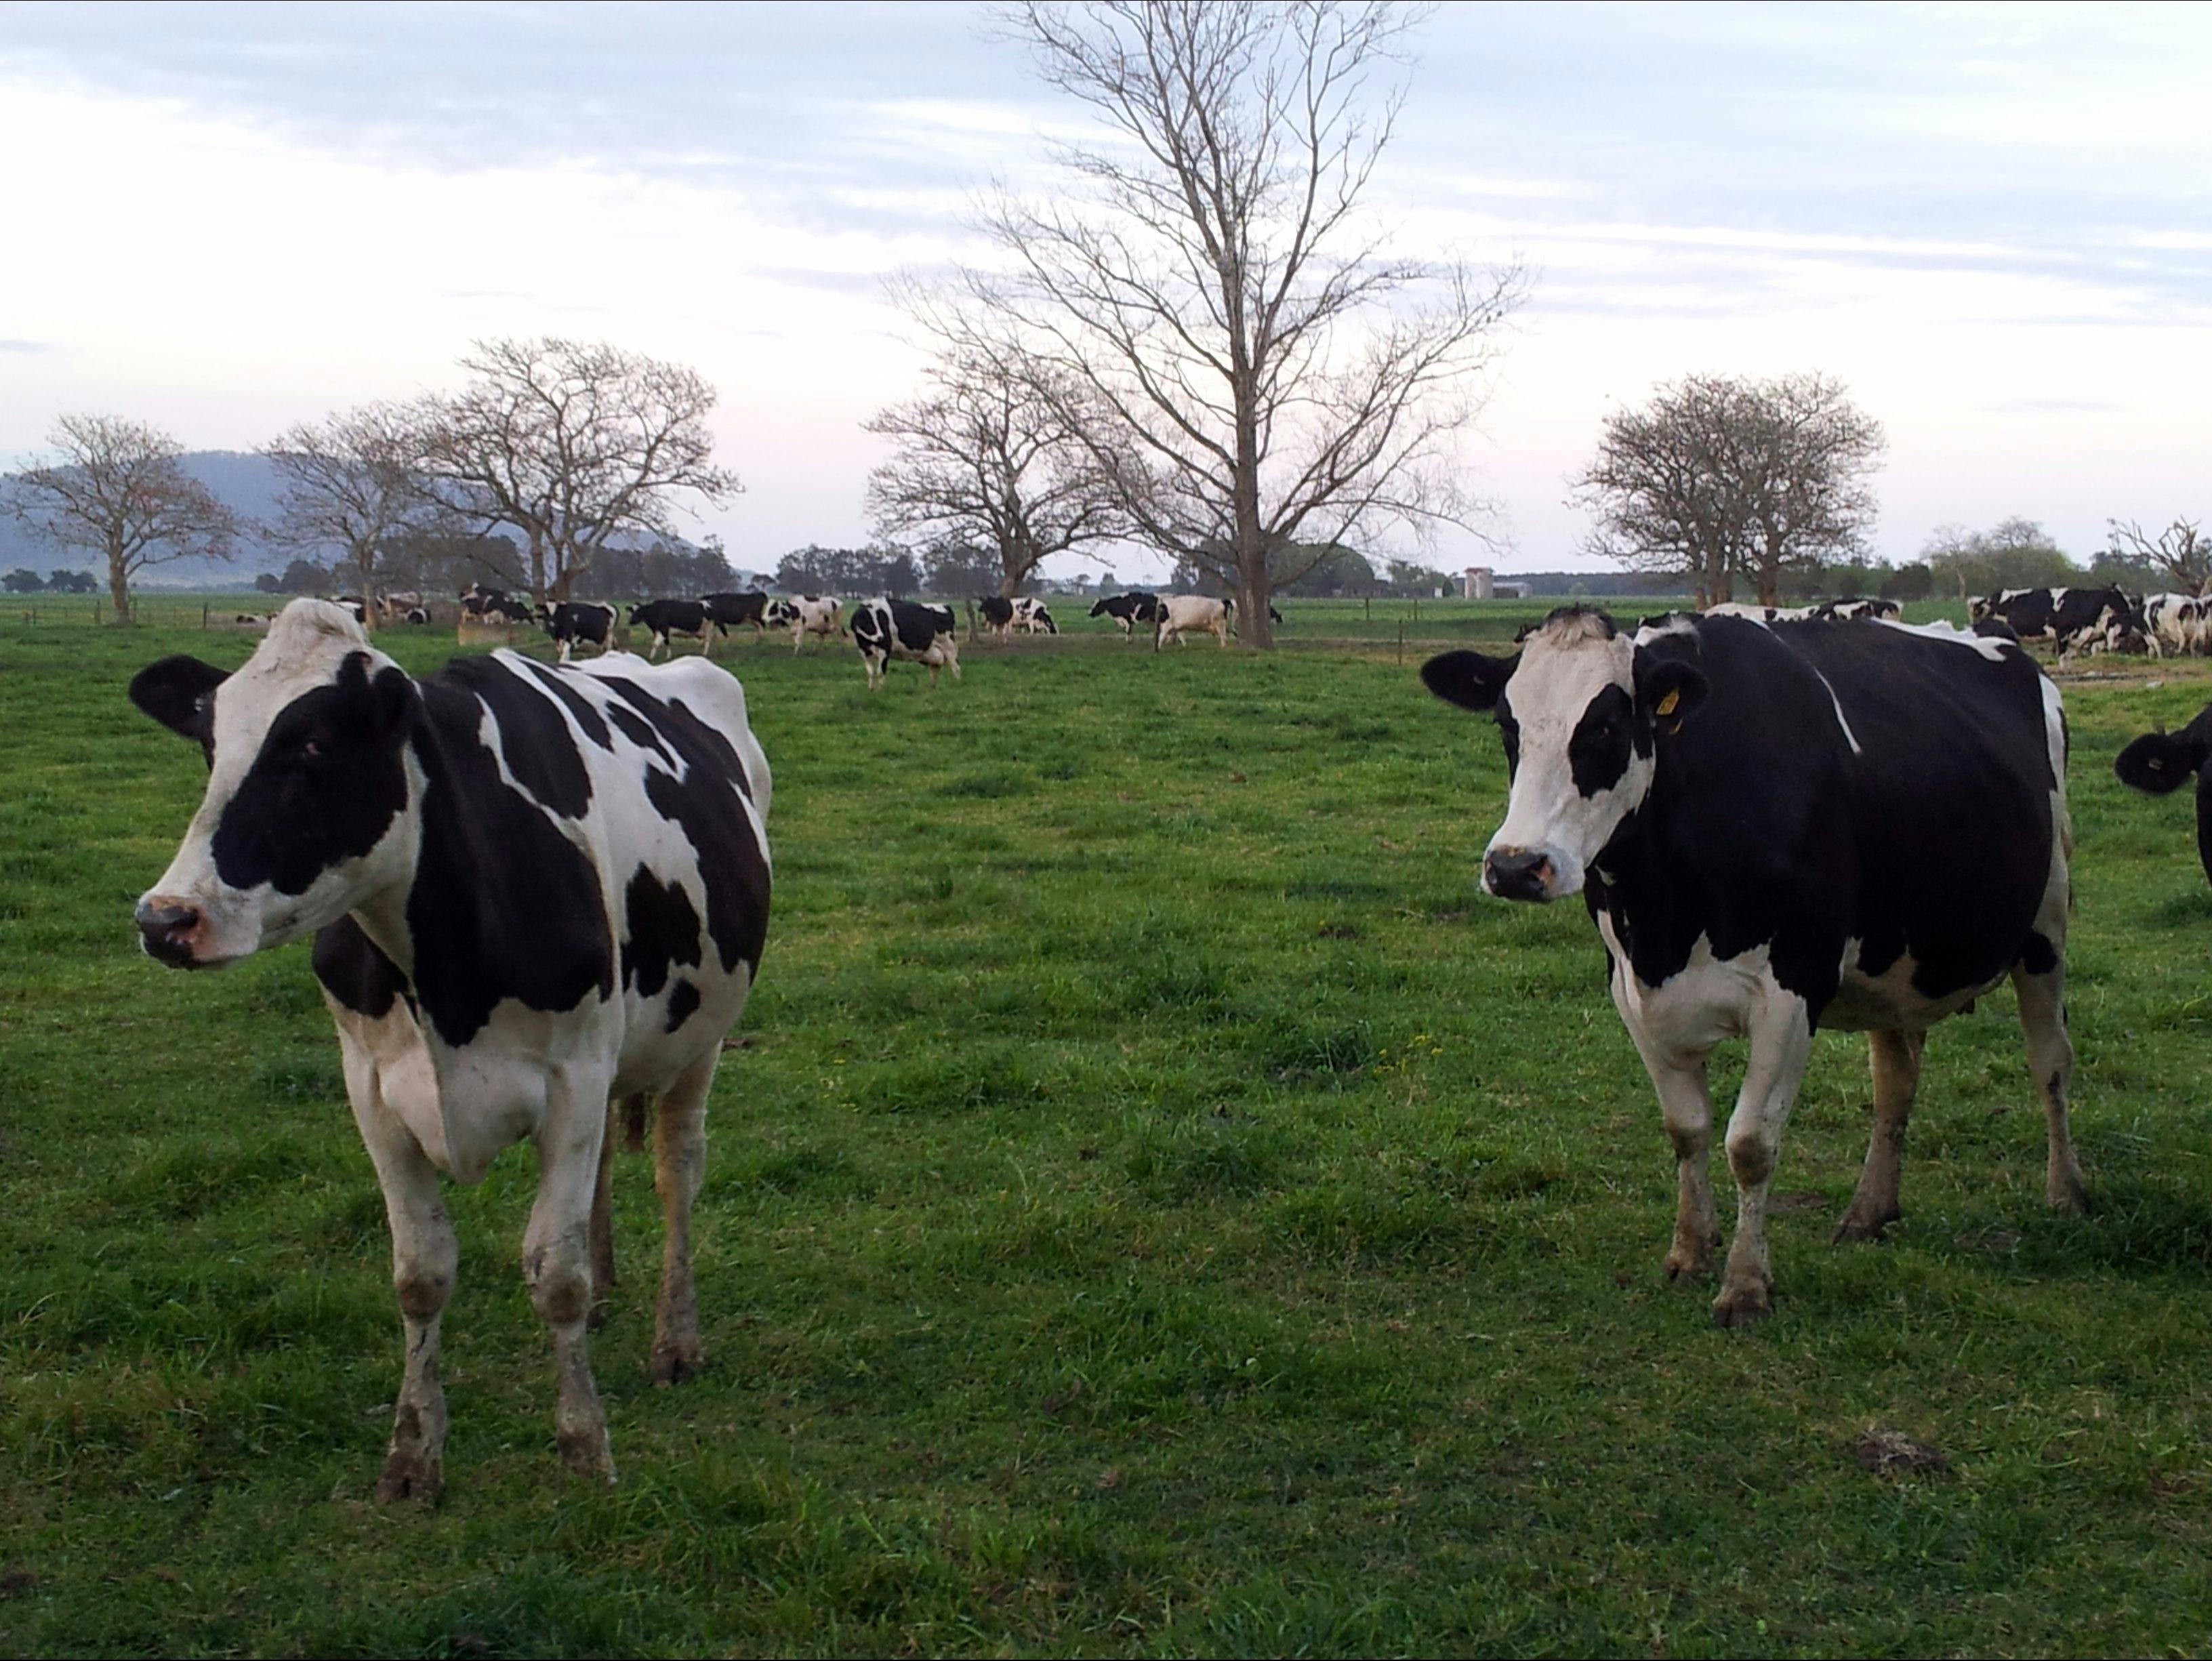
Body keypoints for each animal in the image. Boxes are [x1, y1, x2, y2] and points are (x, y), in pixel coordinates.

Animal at [126, 599, 771, 1496]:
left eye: (314, 745)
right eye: (210, 743)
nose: (165, 919)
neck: (442, 967)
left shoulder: (572, 1077)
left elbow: (554, 1273)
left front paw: (584, 1444)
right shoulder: (371, 1089)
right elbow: (421, 1273)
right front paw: (412, 1455)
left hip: (697, 1038)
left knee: (676, 1173)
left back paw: (674, 1339)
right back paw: (612, 1289)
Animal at [850, 597, 960, 687]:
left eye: (881, 620)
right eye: (867, 621)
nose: (881, 637)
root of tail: (945, 606)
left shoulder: (884, 650)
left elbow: (880, 672)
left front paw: (880, 692)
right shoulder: (865, 652)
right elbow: (870, 673)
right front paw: (871, 690)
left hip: (949, 648)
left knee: (956, 667)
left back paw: (956, 685)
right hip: (934, 653)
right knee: (935, 670)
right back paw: (932, 688)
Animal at [1419, 605, 2084, 1325]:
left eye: (1607, 726)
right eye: (1506, 725)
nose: (1515, 867)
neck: (1666, 915)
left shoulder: (1791, 992)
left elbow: (1749, 1144)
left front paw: (1745, 1285)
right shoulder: (1632, 989)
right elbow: (1687, 1130)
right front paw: (1689, 1250)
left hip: (2046, 927)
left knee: (2050, 1063)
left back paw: (2066, 1193)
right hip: (1894, 961)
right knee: (1895, 1082)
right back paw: (1869, 1210)